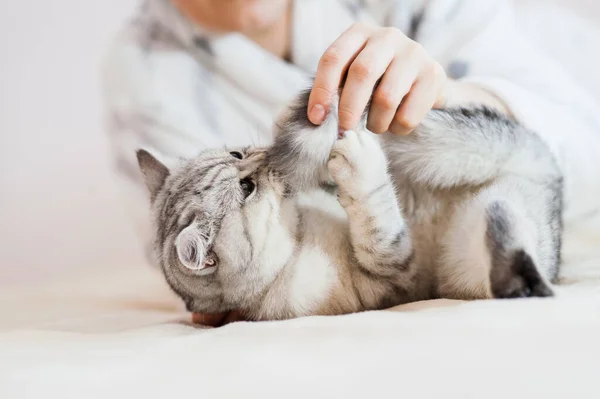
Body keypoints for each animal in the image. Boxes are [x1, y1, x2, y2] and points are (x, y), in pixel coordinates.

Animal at [136, 87, 564, 322]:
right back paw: (525, 285)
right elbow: (378, 226)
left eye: (237, 153)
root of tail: (545, 164)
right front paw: (359, 161)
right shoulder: (394, 278)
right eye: (246, 187)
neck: (299, 237)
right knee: (510, 241)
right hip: (473, 249)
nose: (265, 156)